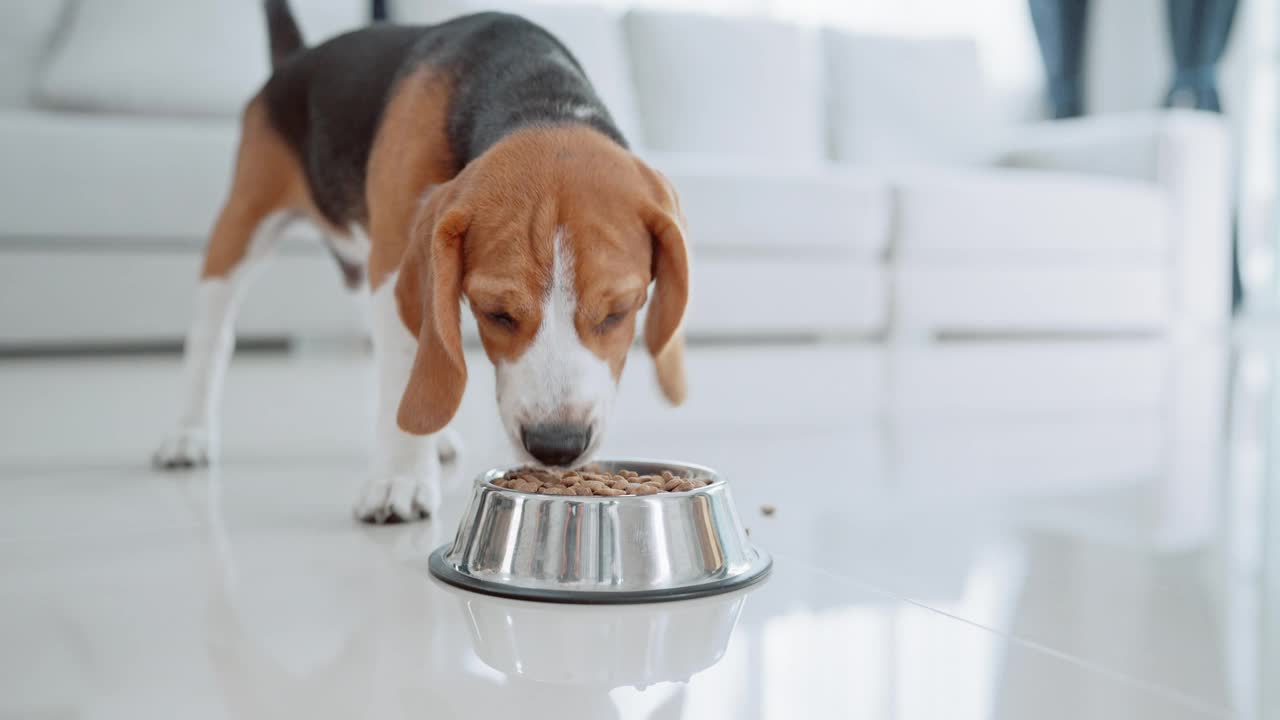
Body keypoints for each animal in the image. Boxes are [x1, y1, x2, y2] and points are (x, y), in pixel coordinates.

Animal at [156, 2, 696, 525]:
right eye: (497, 313)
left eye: (619, 312)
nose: (556, 445)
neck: (538, 99)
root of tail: (297, 58)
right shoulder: (396, 259)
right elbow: (404, 364)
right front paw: (398, 479)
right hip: (243, 222)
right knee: (211, 336)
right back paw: (187, 434)